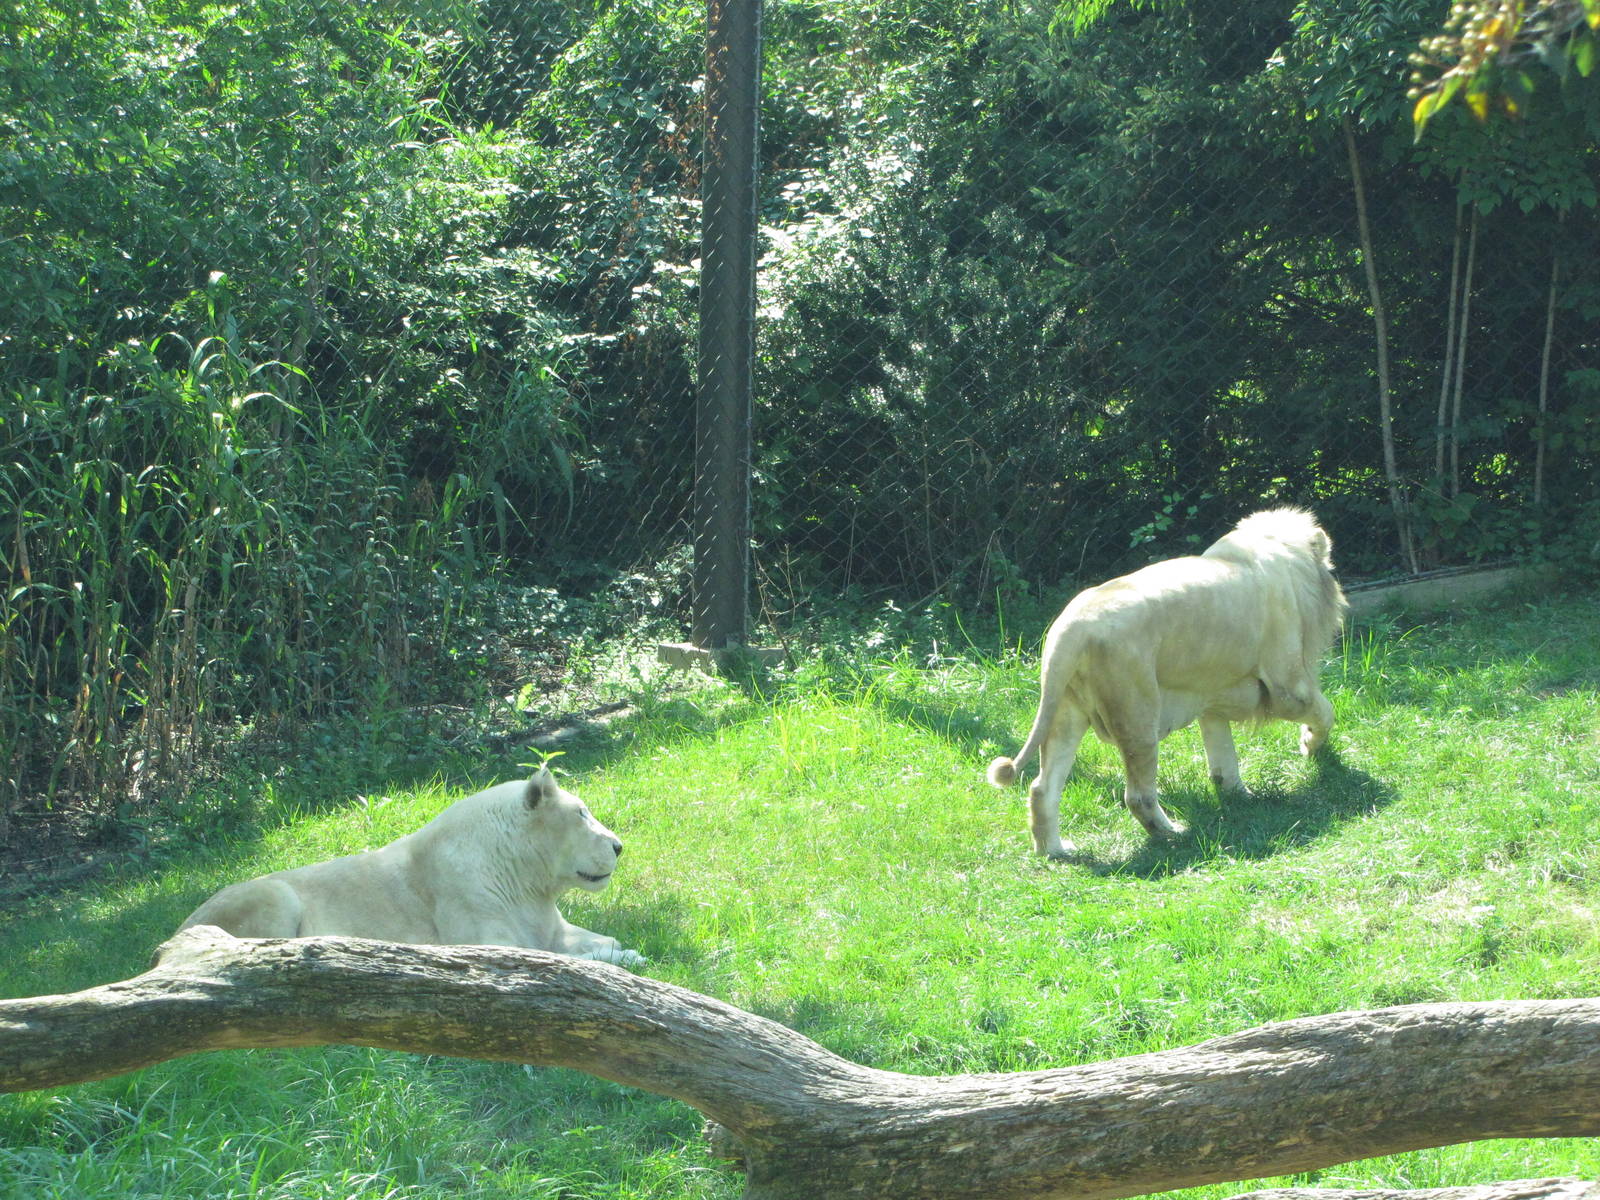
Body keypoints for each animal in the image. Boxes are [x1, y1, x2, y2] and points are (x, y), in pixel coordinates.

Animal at [175, 767, 644, 965]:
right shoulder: (477, 928)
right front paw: (625, 958)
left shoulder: (541, 914)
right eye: (582, 814)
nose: (618, 846)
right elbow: (555, 957)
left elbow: (580, 938)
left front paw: (622, 947)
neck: (519, 874)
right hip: (270, 892)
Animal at [987, 508, 1348, 856]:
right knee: (1137, 795)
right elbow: (1324, 711)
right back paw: (1173, 833)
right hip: (1138, 714)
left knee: (1042, 788)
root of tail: (1069, 631)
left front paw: (1238, 795)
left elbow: (1222, 751)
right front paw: (1311, 746)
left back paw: (1056, 851)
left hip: (1065, 711)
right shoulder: (1289, 687)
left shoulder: (1212, 695)